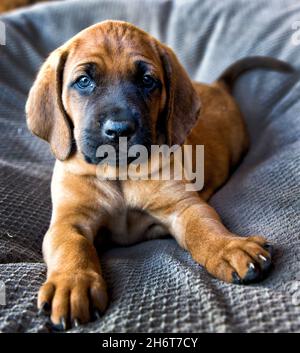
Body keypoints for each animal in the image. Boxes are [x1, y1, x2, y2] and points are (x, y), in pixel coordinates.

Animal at [24, 20, 292, 330]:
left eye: (147, 80)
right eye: (83, 81)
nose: (119, 130)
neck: (120, 172)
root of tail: (216, 85)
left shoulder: (184, 206)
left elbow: (204, 227)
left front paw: (228, 247)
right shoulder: (69, 221)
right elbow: (71, 246)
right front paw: (71, 282)